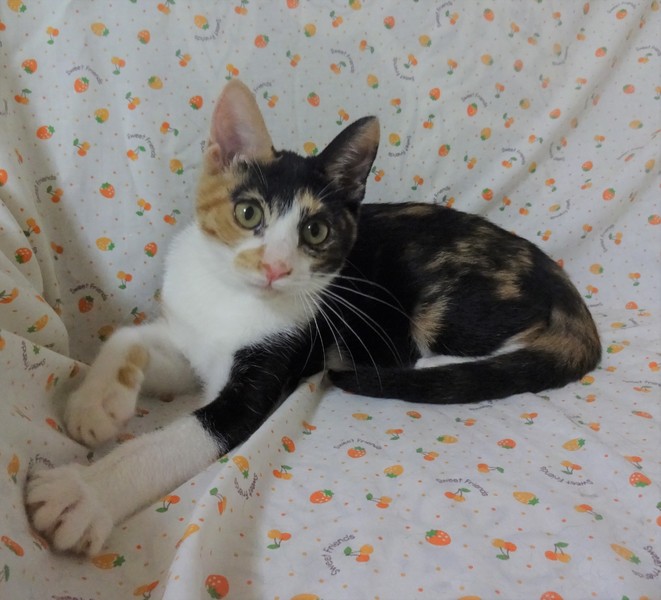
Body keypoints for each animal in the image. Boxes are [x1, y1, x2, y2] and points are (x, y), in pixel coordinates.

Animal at [26, 79, 601, 555]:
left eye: (316, 231)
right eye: (248, 213)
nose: (275, 267)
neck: (231, 298)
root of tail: (559, 279)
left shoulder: (264, 376)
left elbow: (176, 439)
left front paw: (83, 493)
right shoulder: (192, 341)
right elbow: (129, 336)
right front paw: (97, 405)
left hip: (446, 306)